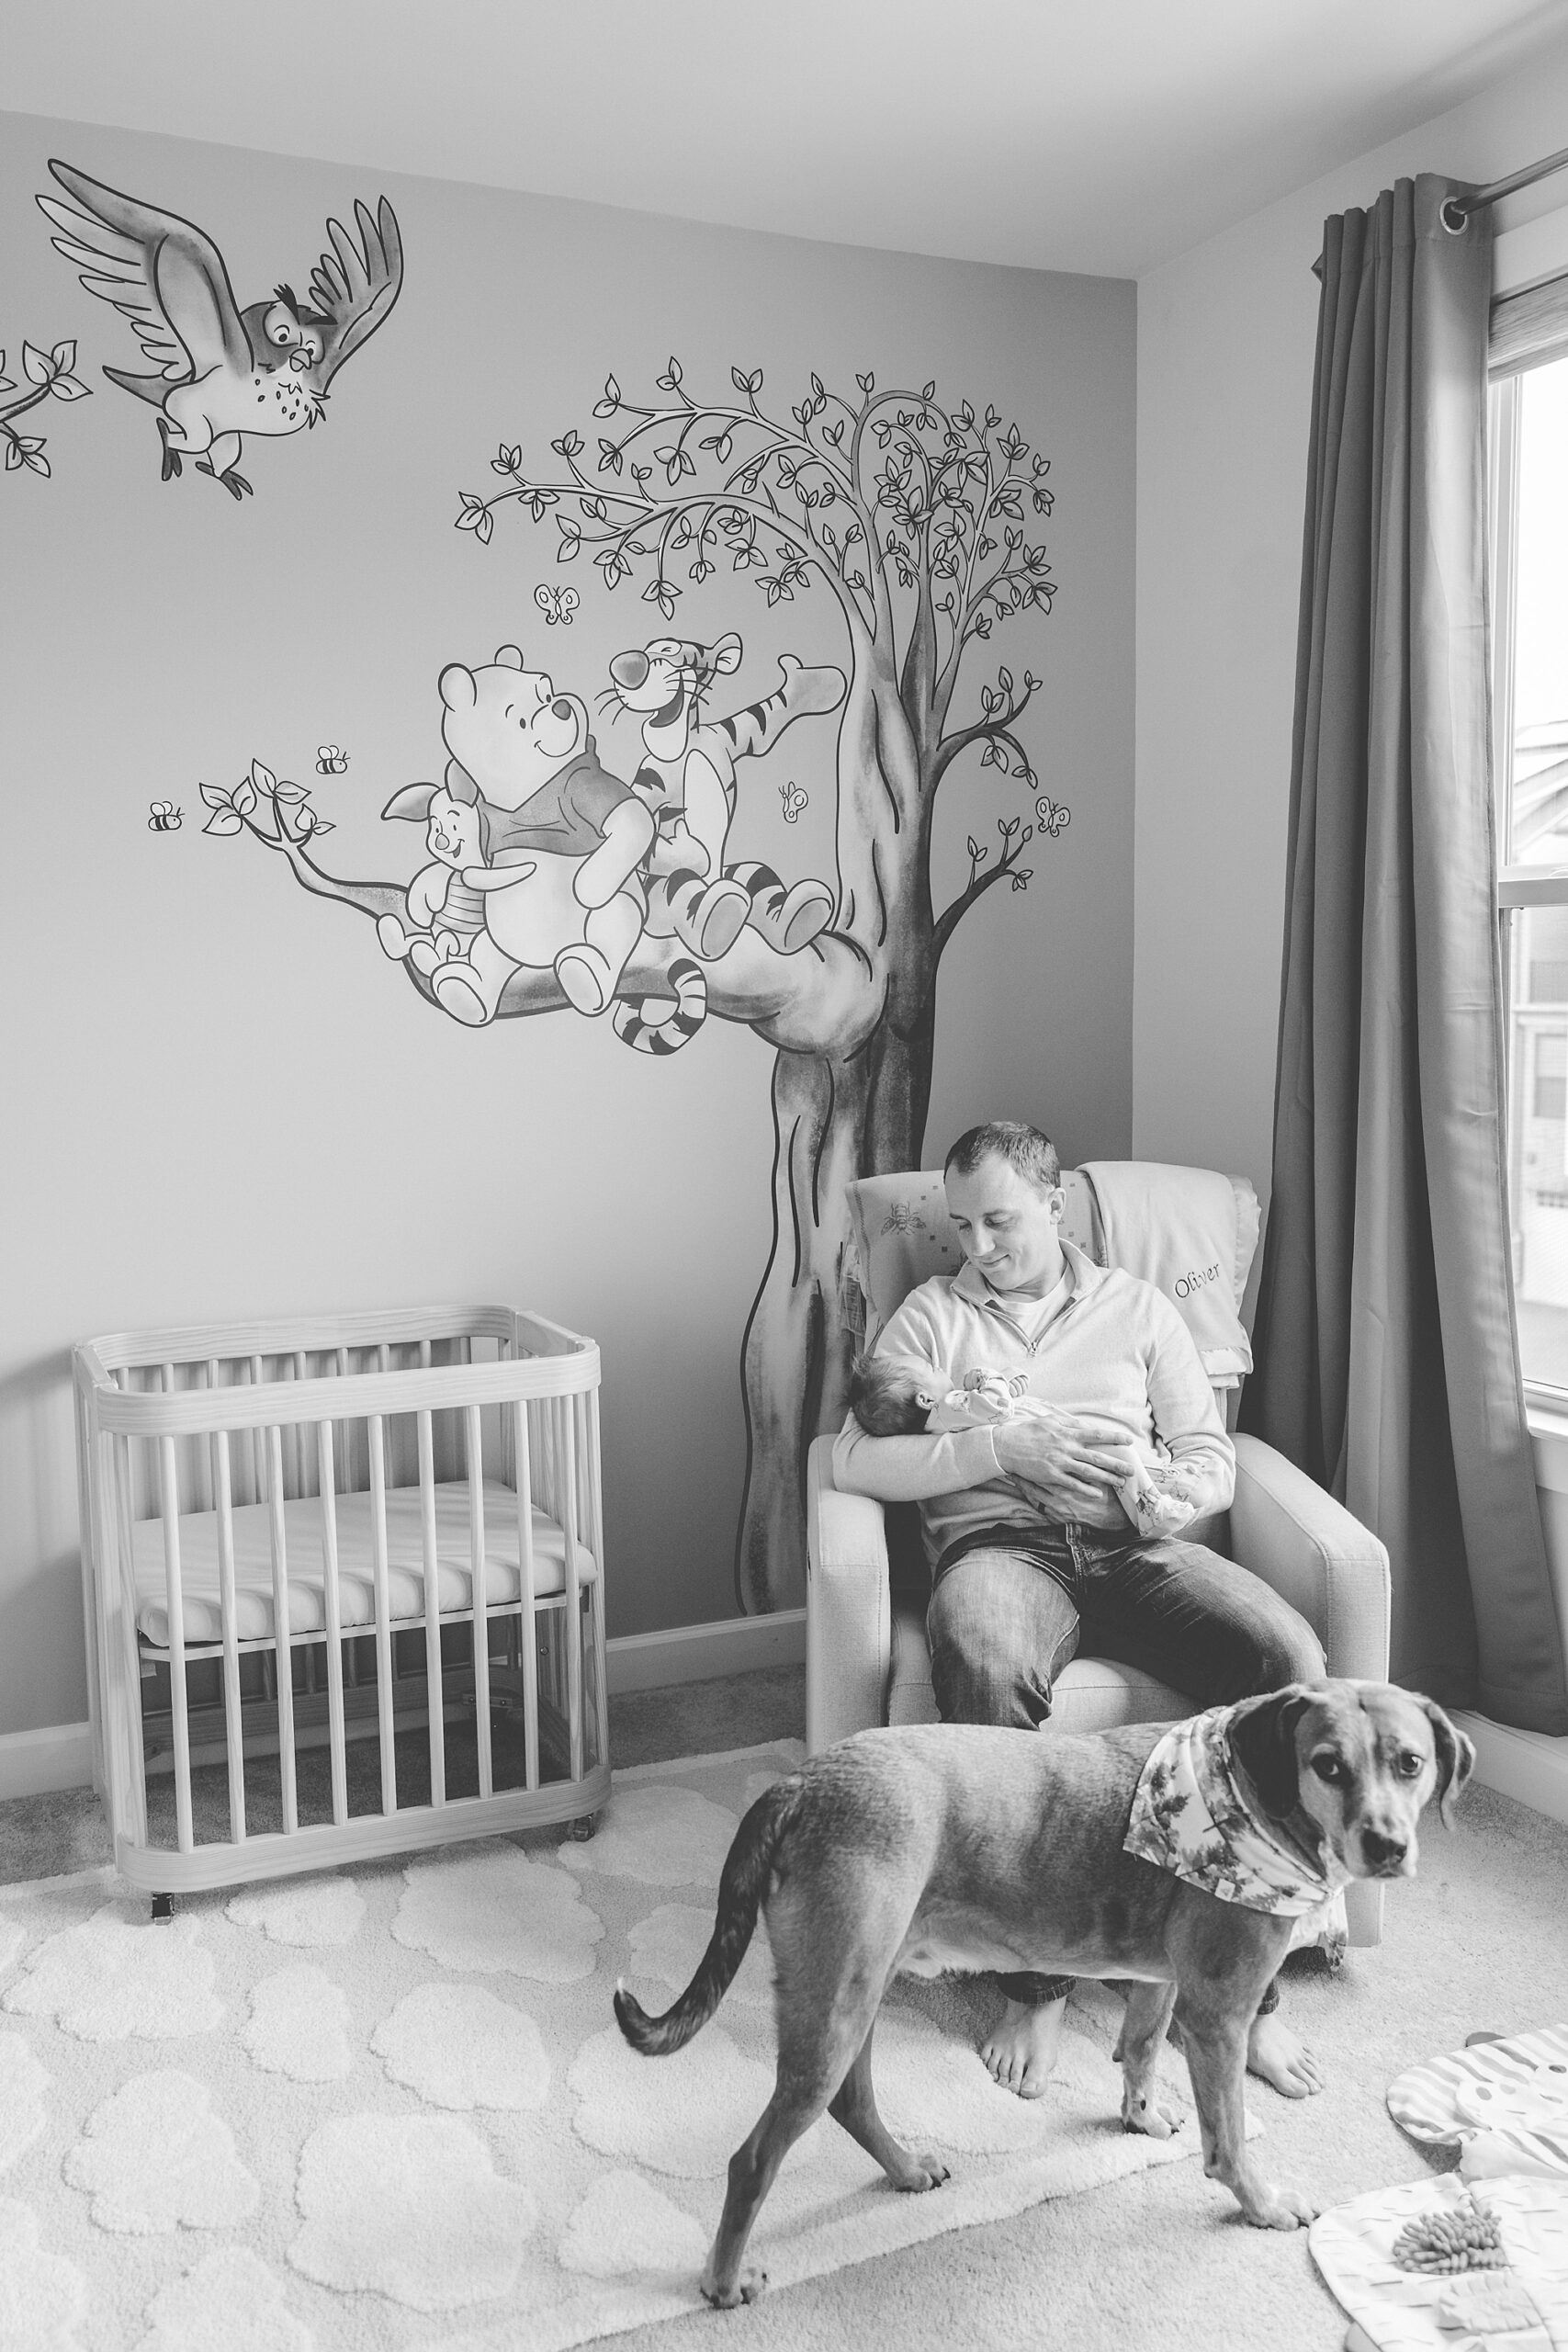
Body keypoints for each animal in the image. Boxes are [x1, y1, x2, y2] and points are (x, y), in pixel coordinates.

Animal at [611, 1683, 1476, 2304]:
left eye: (1409, 1763)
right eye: (1327, 1764)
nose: (1387, 1845)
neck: (1248, 1796)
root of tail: (799, 1783)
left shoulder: (1162, 1985)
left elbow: (1138, 2053)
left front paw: (1139, 2117)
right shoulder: (1219, 2016)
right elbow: (1227, 2141)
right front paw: (1259, 2206)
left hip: (855, 1992)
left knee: (851, 2103)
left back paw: (904, 2169)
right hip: (836, 2005)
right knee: (753, 2160)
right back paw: (723, 2282)